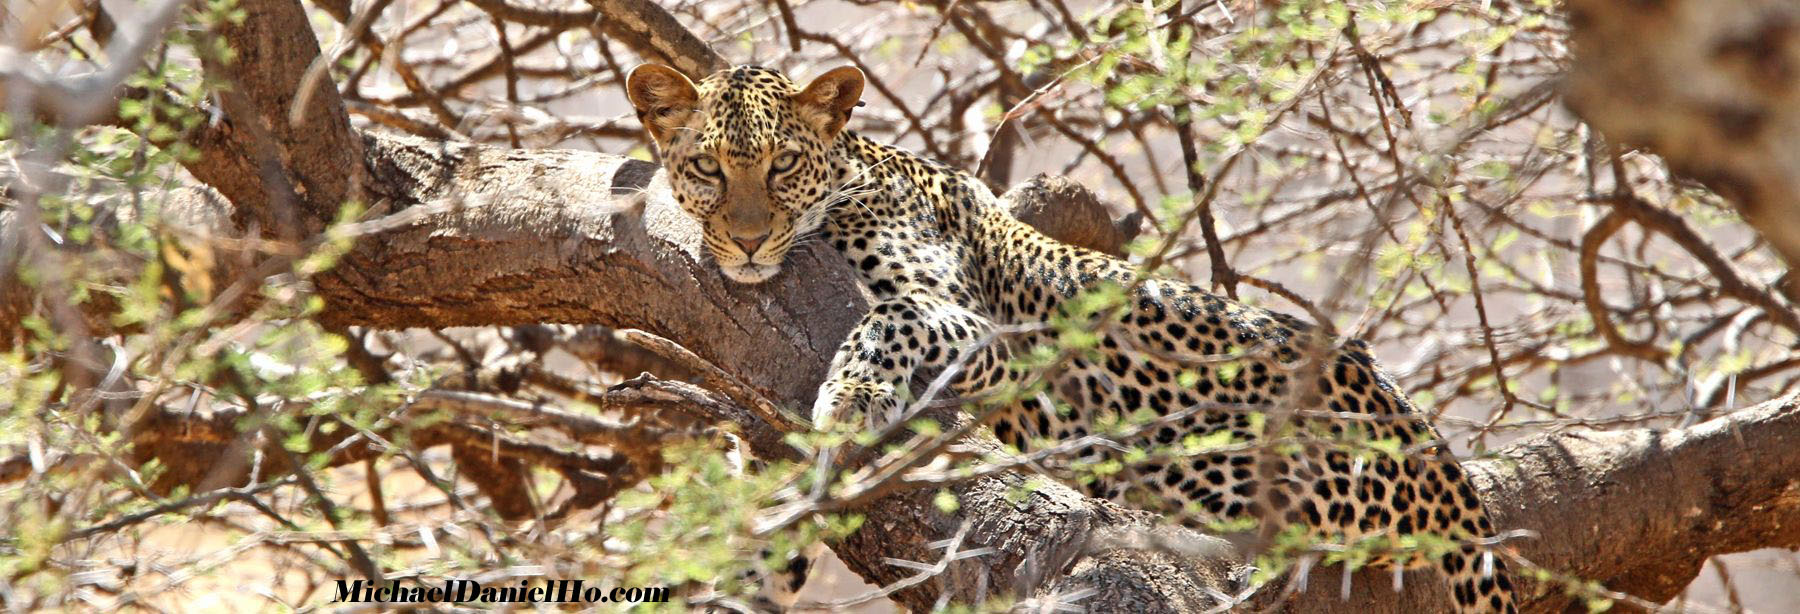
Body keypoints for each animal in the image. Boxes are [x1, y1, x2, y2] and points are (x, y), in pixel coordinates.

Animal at [630, 63, 1519, 612]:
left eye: (782, 164)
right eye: (707, 168)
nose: (748, 241)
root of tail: (1442, 463)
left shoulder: (985, 324)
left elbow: (892, 315)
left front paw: (851, 398)